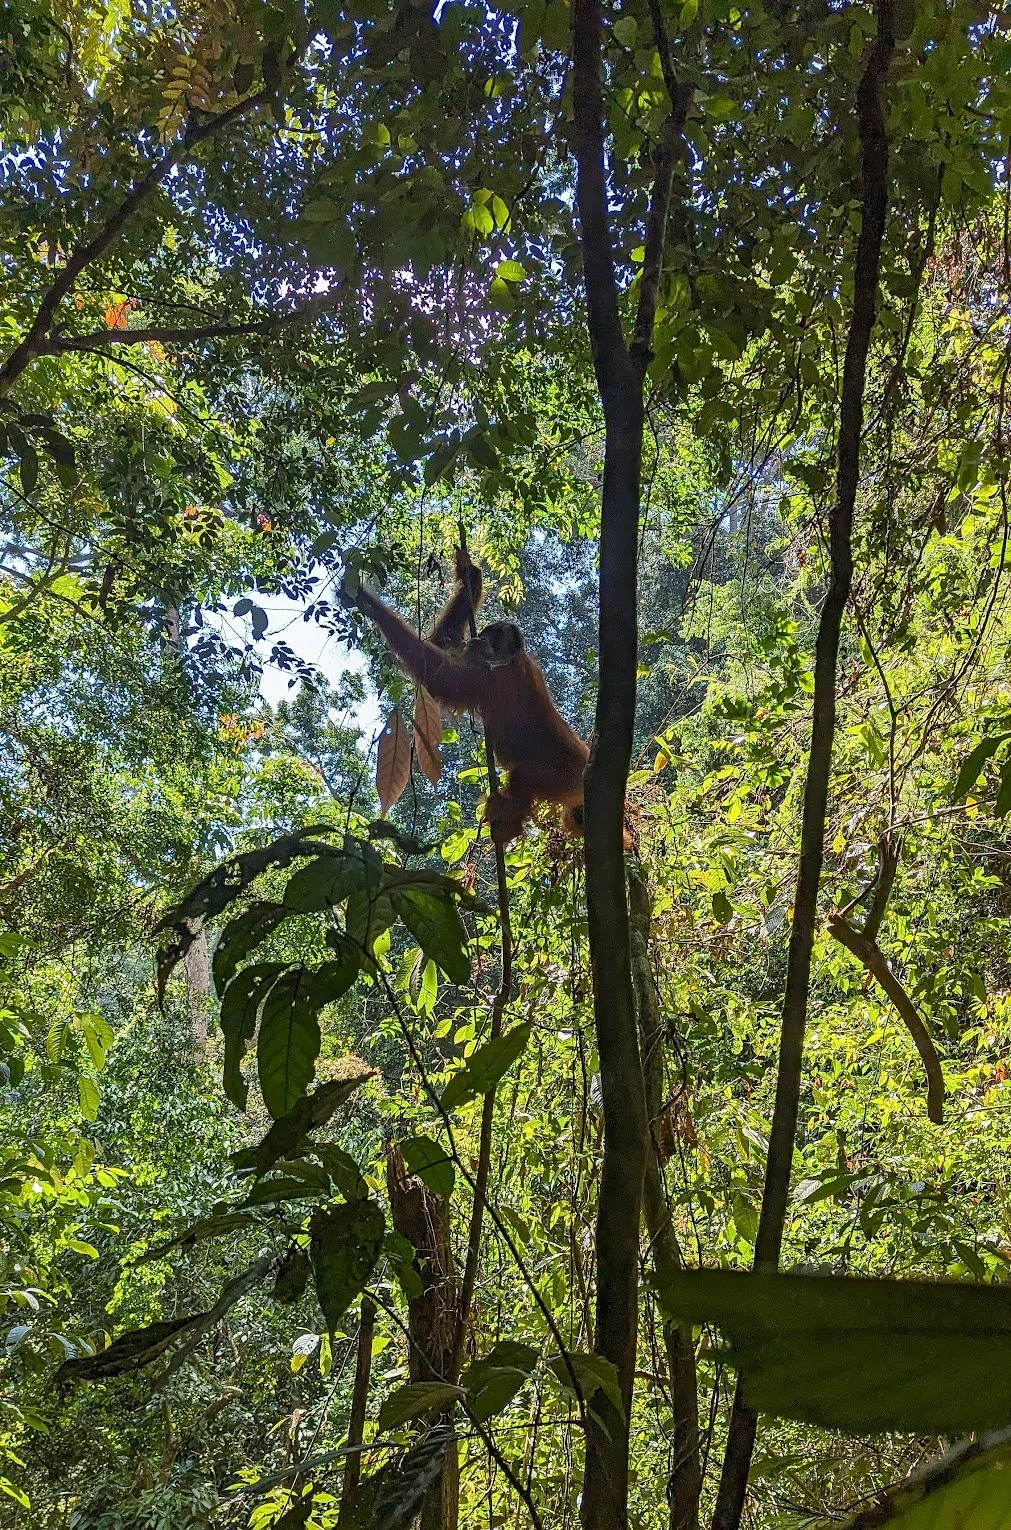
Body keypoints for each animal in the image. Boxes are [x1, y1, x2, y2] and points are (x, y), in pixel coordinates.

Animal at [344, 565, 589, 845]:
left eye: (493, 639)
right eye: (483, 635)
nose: (480, 641)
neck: (514, 659)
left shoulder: (491, 678)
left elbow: (444, 678)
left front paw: (364, 599)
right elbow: (443, 642)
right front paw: (470, 576)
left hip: (560, 776)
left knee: (524, 778)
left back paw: (506, 824)